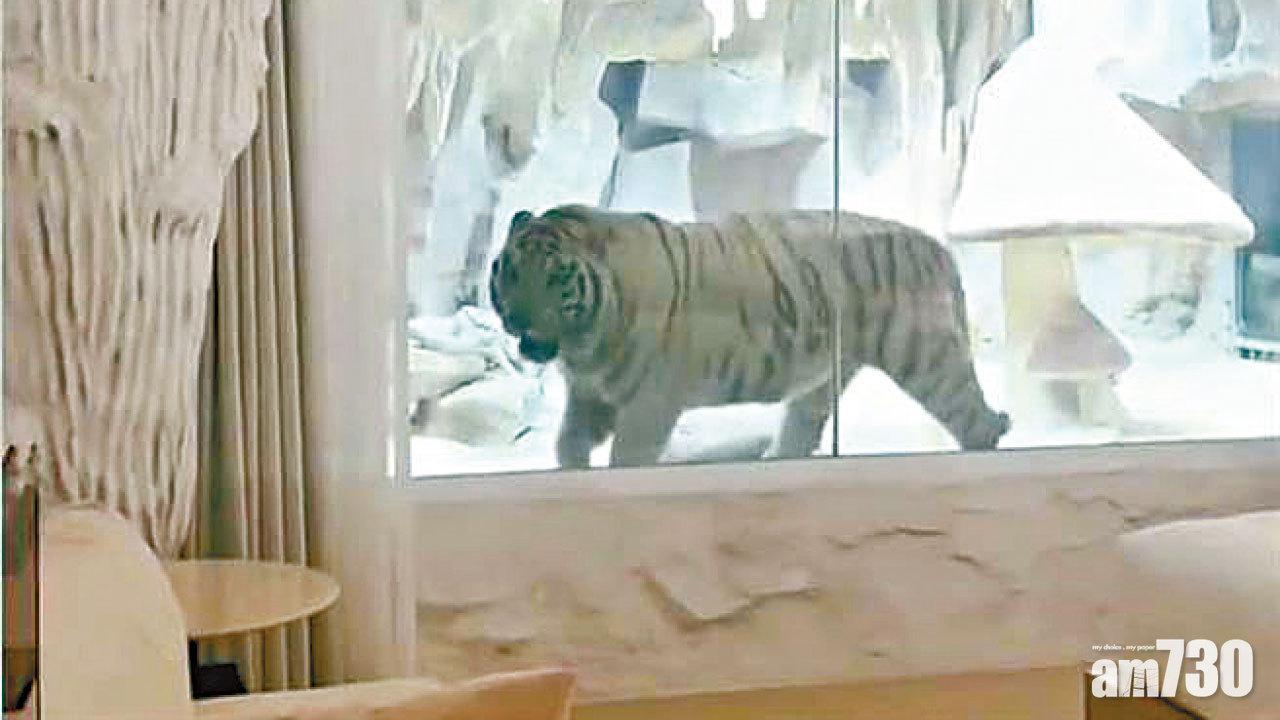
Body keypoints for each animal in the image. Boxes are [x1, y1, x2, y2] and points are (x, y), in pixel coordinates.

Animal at [489, 205, 1010, 468]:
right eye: (511, 271)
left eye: (555, 276)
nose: (517, 318)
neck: (584, 341)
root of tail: (938, 246)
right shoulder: (589, 395)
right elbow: (568, 443)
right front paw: (572, 469)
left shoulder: (649, 403)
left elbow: (628, 456)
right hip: (825, 378)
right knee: (803, 424)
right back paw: (777, 457)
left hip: (927, 357)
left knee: (975, 419)